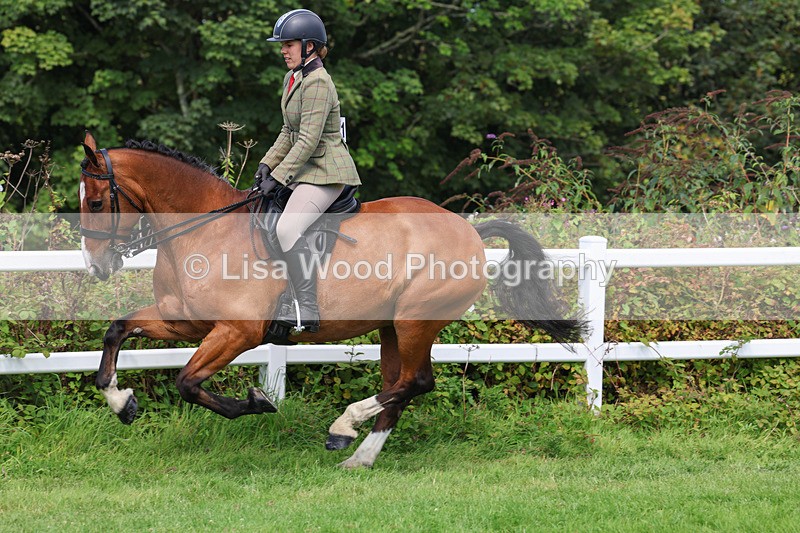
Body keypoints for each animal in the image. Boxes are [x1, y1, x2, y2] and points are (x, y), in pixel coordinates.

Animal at [78, 131, 585, 468]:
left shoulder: (237, 331)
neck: (205, 229)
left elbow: (187, 382)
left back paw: (344, 427)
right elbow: (116, 330)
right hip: (391, 328)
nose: (97, 266)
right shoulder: (182, 320)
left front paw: (256, 402)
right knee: (399, 387)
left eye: (97, 202)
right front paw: (121, 403)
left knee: (416, 382)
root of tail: (470, 232)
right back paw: (357, 457)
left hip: (416, 321)